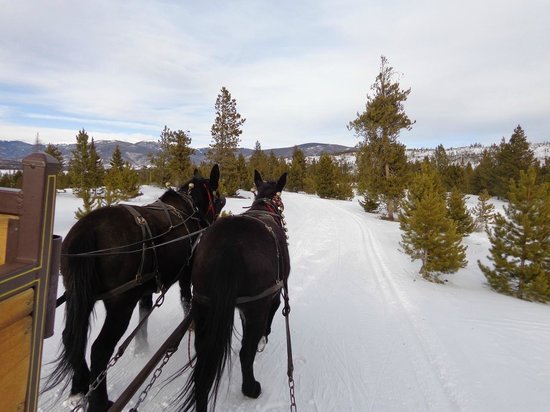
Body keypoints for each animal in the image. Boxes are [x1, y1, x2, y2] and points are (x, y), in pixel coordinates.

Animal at [43, 165, 224, 412]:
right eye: (217, 196)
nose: (219, 209)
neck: (191, 209)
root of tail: (87, 231)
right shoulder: (186, 273)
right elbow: (186, 301)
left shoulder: (145, 289)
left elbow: (144, 315)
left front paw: (141, 347)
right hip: (120, 304)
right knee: (99, 349)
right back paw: (99, 401)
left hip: (79, 296)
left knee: (72, 338)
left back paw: (80, 387)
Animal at [181, 169, 294, 410]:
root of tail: (230, 245)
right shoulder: (272, 295)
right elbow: (273, 313)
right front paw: (265, 337)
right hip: (256, 307)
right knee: (245, 353)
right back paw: (251, 388)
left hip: (202, 305)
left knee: (203, 363)